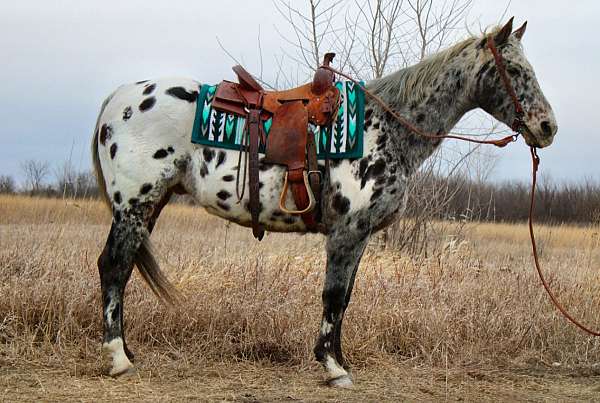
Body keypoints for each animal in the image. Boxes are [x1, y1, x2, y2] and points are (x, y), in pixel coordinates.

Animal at [90, 19, 556, 388]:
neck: (382, 129)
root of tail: (120, 97)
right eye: (515, 70)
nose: (547, 127)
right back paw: (118, 357)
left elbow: (344, 298)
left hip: (148, 207)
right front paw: (333, 367)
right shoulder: (347, 233)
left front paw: (339, 359)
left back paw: (126, 351)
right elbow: (333, 295)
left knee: (123, 269)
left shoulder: (360, 236)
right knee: (113, 266)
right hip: (134, 206)